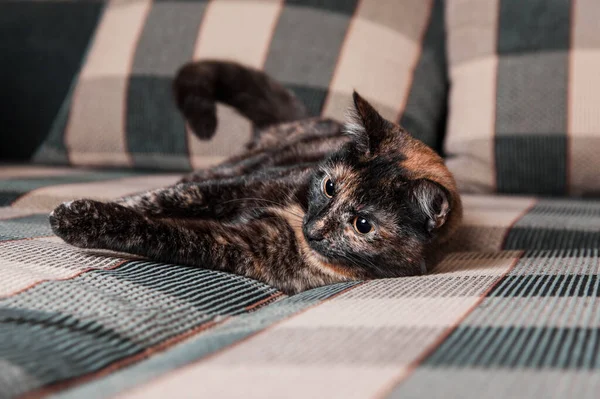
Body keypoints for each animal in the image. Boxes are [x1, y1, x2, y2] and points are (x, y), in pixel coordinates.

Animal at [51, 61, 464, 296]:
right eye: (329, 187)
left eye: (363, 224)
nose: (314, 229)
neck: (294, 218)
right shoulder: (242, 188)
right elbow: (161, 200)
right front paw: (78, 213)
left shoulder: (242, 245)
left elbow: (161, 231)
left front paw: (76, 220)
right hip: (243, 165)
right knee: (191, 179)